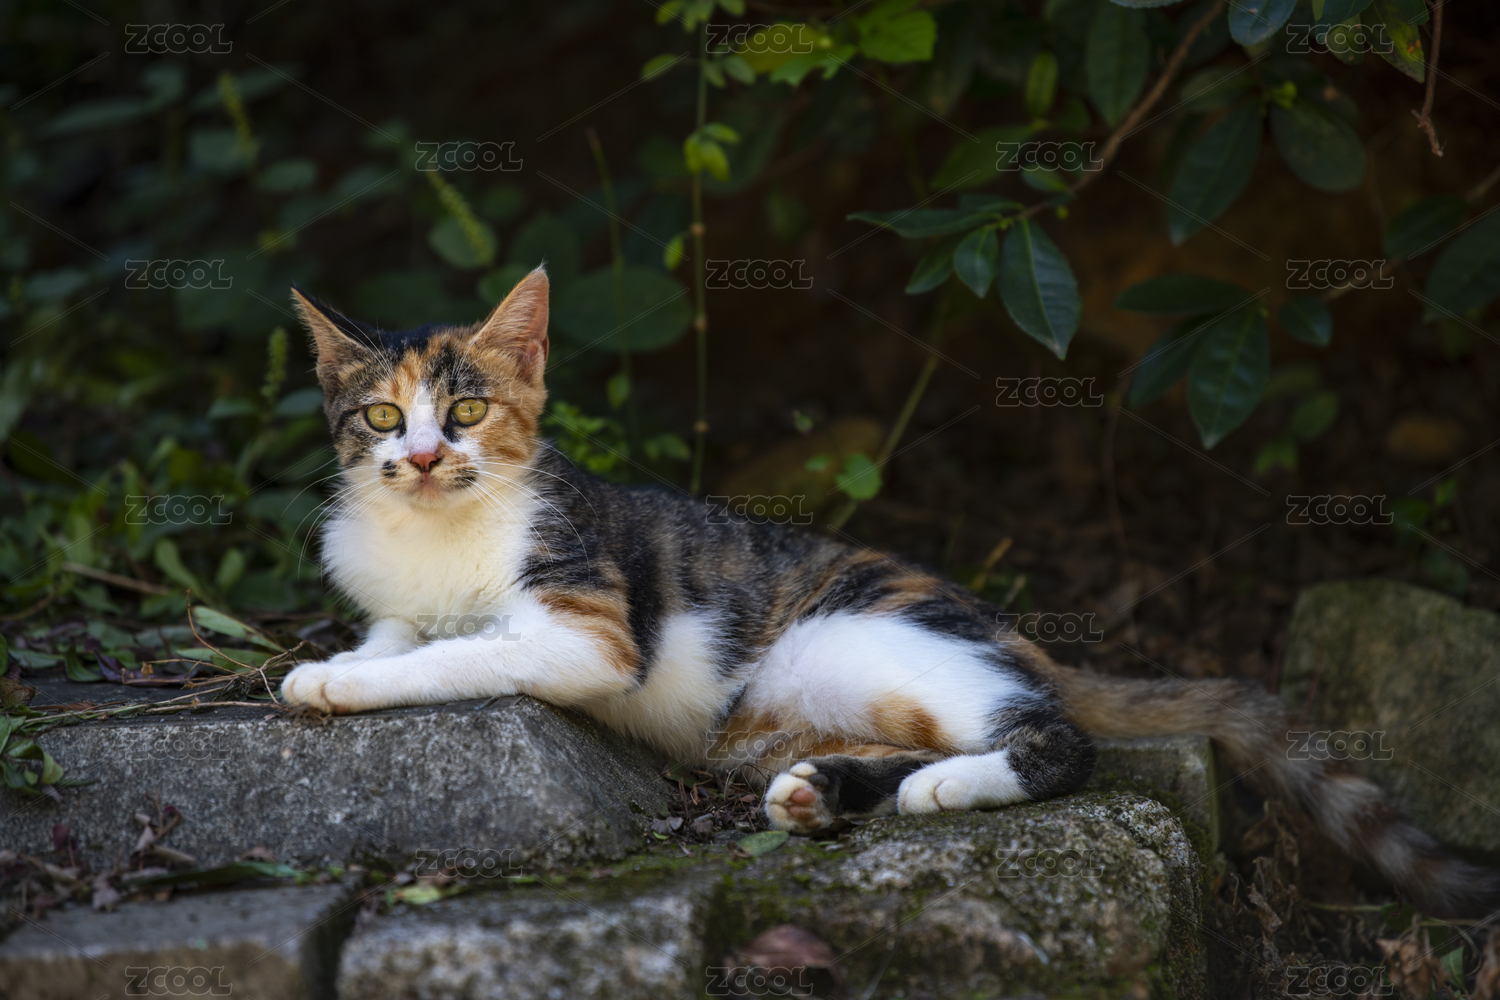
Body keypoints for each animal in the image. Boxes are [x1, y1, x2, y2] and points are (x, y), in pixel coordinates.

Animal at [280, 268, 1498, 918]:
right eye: (381, 417)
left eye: (467, 412)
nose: (422, 458)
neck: (437, 535)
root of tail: (1020, 634)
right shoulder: (398, 591)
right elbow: (399, 633)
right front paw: (339, 662)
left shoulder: (588, 628)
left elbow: (465, 651)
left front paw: (336, 684)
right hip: (773, 717)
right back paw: (826, 793)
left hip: (856, 638)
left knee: (1059, 741)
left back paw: (943, 790)